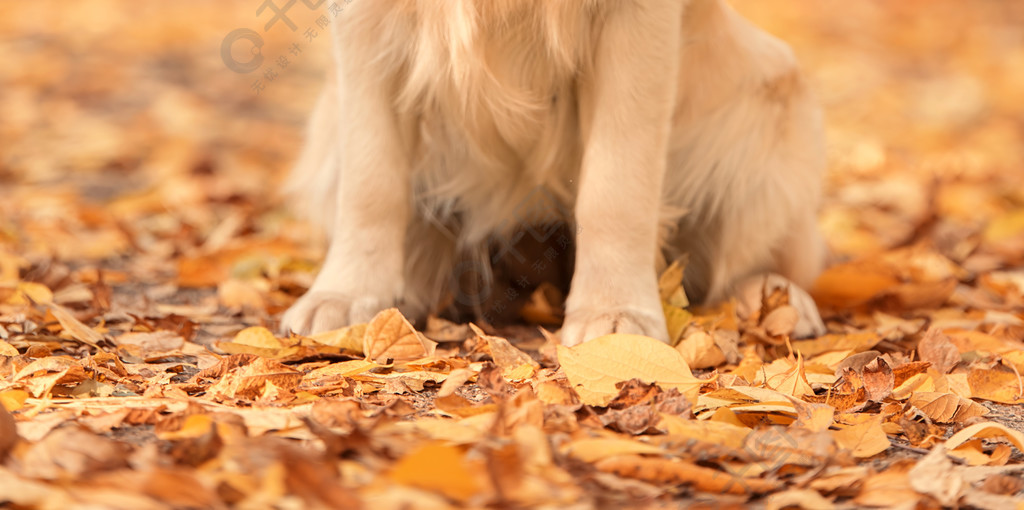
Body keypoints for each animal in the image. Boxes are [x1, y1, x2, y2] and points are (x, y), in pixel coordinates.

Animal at [278, 0, 823, 344]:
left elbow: (616, 187)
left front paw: (614, 309)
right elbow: (371, 178)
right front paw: (346, 295)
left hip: (772, 100)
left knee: (741, 267)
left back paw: (775, 301)